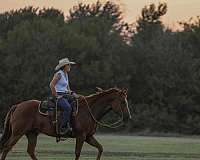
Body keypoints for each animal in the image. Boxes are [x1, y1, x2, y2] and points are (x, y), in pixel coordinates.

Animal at [0, 87, 131, 160]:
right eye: (122, 102)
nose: (128, 117)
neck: (89, 110)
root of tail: (17, 106)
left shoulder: (88, 137)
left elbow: (100, 148)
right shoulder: (81, 136)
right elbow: (77, 153)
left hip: (32, 134)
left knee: (30, 151)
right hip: (17, 133)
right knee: (6, 147)